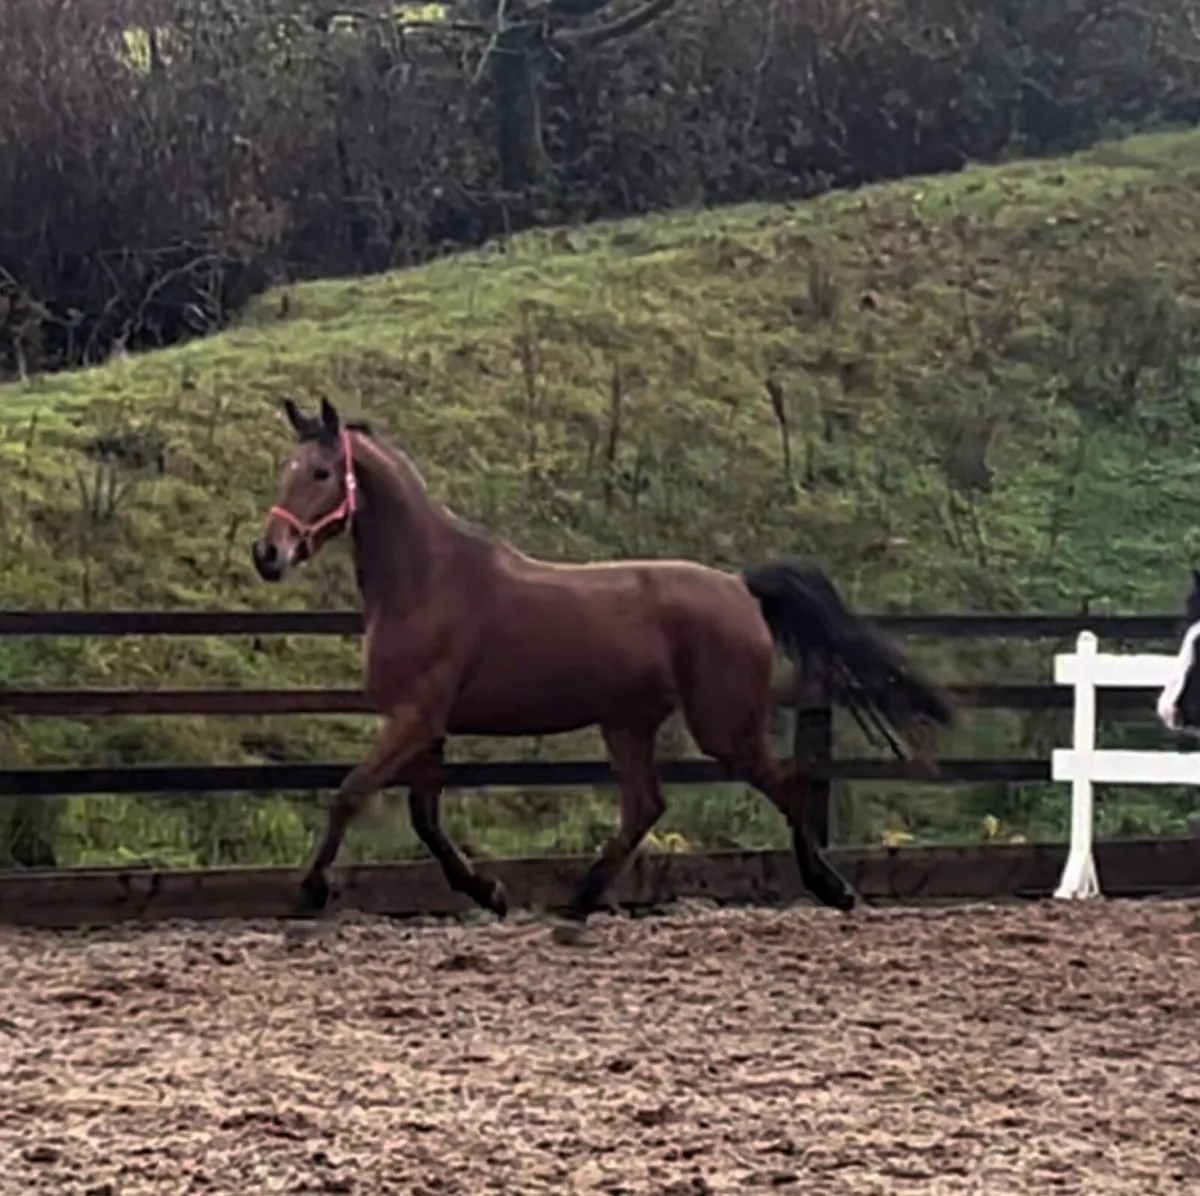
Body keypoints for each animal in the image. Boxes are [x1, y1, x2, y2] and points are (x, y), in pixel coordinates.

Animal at [251, 397, 956, 935]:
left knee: (785, 786)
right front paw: (489, 893)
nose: (267, 554)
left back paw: (832, 888)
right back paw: (579, 903)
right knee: (646, 806)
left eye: (321, 472)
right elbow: (426, 821)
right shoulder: (427, 726)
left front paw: (310, 895)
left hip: (722, 726)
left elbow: (349, 795)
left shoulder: (413, 719)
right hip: (628, 723)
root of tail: (740, 587)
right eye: (285, 468)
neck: (427, 580)